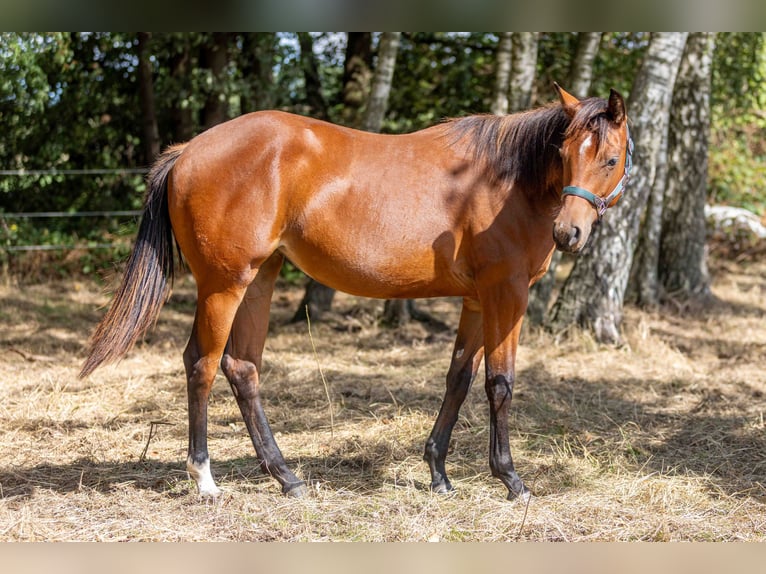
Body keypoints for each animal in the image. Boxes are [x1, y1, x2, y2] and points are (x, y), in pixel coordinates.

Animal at [80, 84, 632, 501]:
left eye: (609, 158)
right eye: (564, 153)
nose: (569, 233)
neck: (507, 181)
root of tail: (186, 152)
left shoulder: (477, 300)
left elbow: (457, 378)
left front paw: (439, 473)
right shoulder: (506, 295)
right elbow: (500, 383)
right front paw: (511, 480)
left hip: (260, 279)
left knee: (242, 369)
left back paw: (287, 478)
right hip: (224, 285)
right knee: (202, 365)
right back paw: (205, 479)